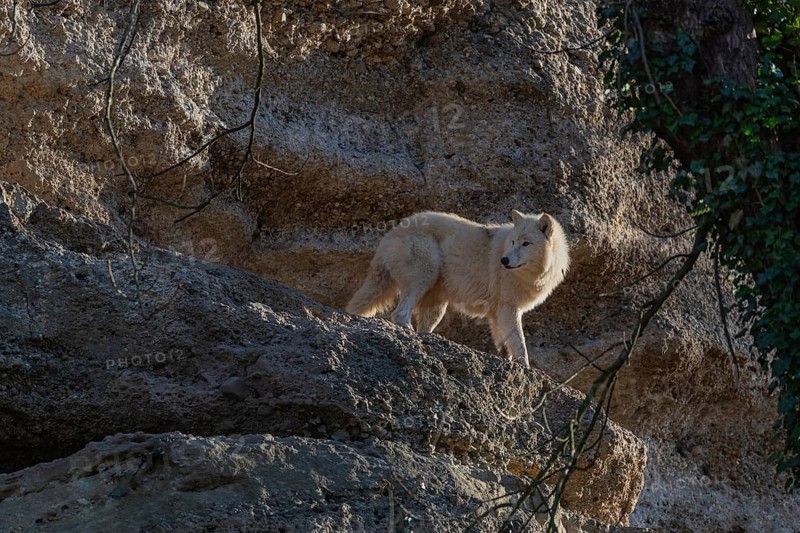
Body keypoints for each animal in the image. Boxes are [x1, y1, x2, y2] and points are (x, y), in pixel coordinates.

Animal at [346, 210, 570, 368]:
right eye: (514, 242)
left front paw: (507, 362)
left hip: (436, 306)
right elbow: (519, 342)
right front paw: (525, 367)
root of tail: (392, 233)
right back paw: (409, 332)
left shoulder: (496, 313)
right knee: (399, 313)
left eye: (526, 244)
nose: (504, 260)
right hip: (424, 276)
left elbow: (504, 345)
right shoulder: (508, 307)